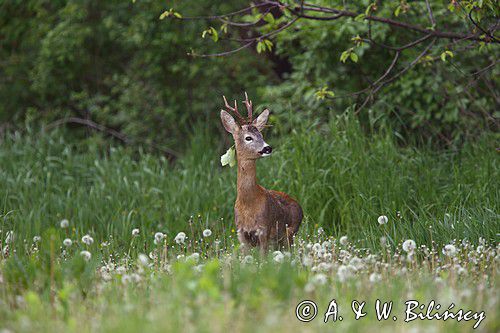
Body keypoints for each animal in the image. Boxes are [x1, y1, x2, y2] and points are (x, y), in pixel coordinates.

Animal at [221, 92, 302, 250]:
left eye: (262, 135)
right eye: (248, 138)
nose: (268, 148)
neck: (248, 204)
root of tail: (299, 206)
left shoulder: (264, 229)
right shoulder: (241, 233)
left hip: (290, 234)